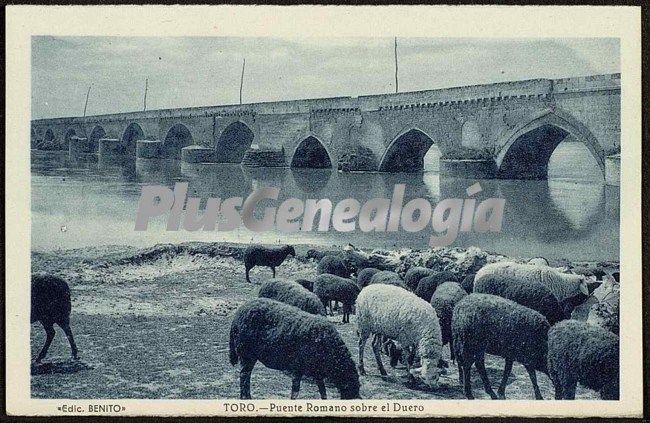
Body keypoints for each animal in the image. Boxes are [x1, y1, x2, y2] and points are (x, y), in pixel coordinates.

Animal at [228, 298, 360, 400]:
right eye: (351, 389)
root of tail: (237, 315)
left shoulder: (317, 372)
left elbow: (323, 391)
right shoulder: (298, 368)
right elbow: (295, 392)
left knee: (246, 376)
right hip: (246, 354)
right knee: (244, 376)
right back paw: (246, 397)